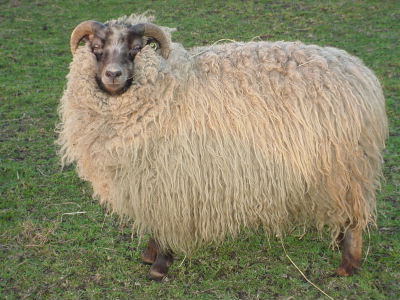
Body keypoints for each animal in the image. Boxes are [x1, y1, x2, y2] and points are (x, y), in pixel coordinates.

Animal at [56, 13, 388, 282]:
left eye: (136, 48)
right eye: (95, 47)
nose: (113, 74)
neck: (167, 88)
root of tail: (362, 74)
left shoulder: (169, 181)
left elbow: (164, 226)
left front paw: (159, 266)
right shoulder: (148, 180)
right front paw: (149, 255)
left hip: (348, 168)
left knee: (355, 218)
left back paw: (348, 265)